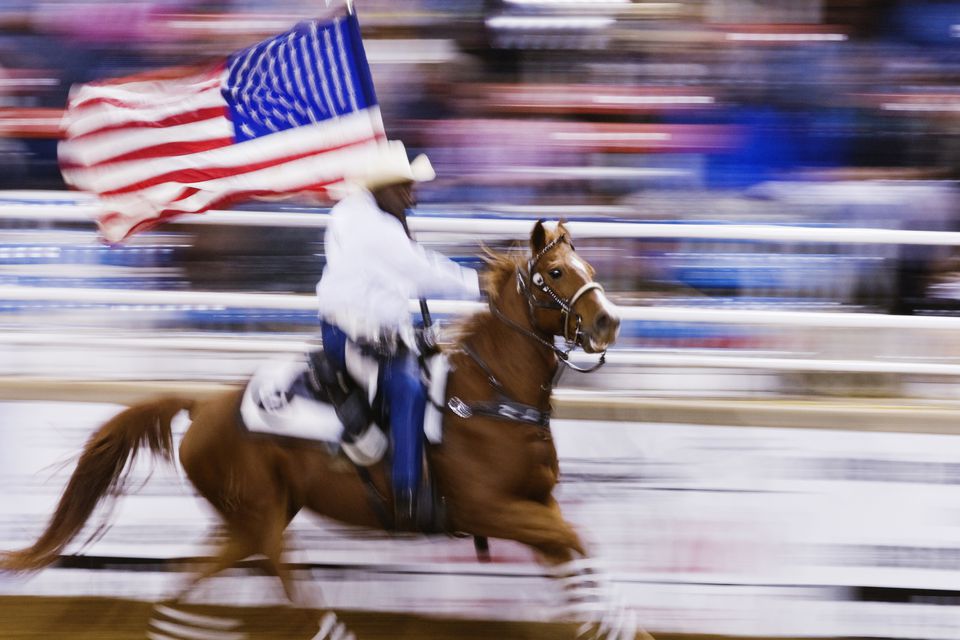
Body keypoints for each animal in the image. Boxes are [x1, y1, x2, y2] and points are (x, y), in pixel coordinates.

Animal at [0, 221, 648, 640]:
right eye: (556, 272)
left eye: (590, 268)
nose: (608, 322)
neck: (489, 397)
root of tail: (205, 404)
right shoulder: (491, 508)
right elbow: (576, 543)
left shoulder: (536, 503)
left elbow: (574, 553)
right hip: (262, 515)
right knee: (286, 577)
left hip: (249, 516)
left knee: (194, 577)